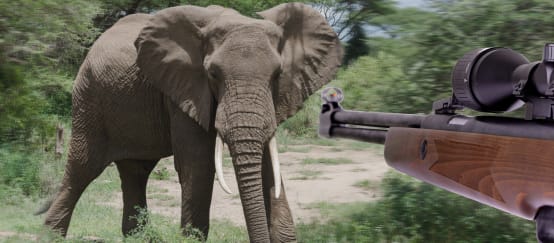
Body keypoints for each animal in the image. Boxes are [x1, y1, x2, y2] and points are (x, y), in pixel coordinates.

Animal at [43, 2, 338, 242]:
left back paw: (138, 237)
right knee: (83, 167)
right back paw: (51, 235)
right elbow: (198, 163)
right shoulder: (185, 90)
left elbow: (268, 164)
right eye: (213, 74)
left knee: (136, 171)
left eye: (277, 74)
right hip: (89, 97)